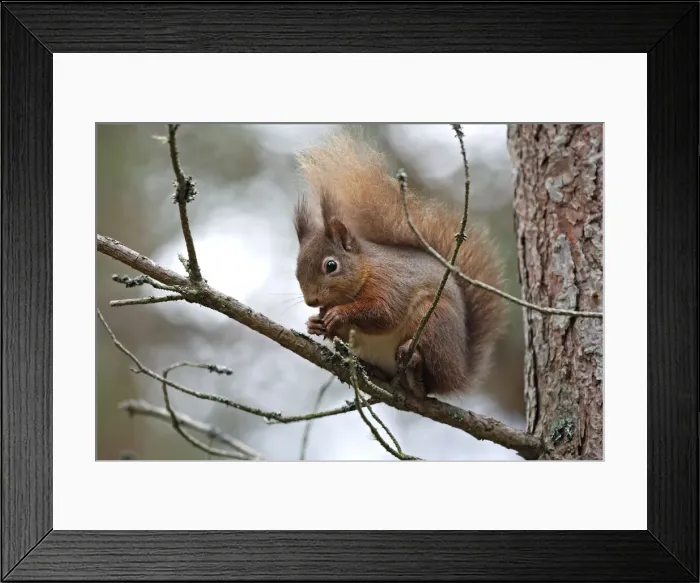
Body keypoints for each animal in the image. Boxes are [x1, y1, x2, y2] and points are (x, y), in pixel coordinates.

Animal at [292, 129, 507, 400]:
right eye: (296, 272)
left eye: (331, 266)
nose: (312, 301)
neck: (366, 270)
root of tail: (458, 372)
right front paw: (315, 323)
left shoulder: (389, 282)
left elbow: (384, 313)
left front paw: (339, 314)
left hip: (436, 321)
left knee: (428, 381)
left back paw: (414, 366)